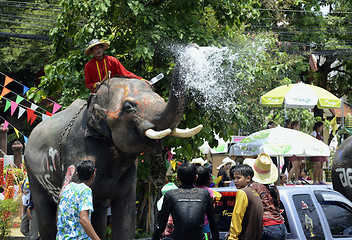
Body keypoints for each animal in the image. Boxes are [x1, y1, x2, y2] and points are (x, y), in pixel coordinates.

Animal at [23, 57, 202, 238]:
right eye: (129, 107)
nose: (188, 53)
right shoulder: (76, 150)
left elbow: (126, 211)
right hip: (31, 170)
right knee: (45, 215)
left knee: (99, 213)